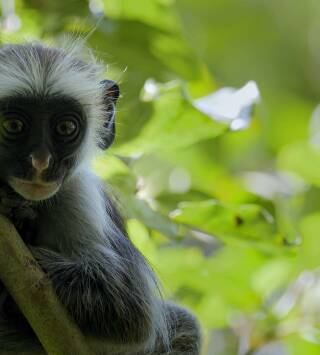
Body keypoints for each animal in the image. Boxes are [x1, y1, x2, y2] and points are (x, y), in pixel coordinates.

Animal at [0, 43, 201, 355]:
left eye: (66, 128)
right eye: (13, 125)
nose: (40, 164)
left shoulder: (76, 193)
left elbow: (132, 312)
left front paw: (24, 224)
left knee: (185, 324)